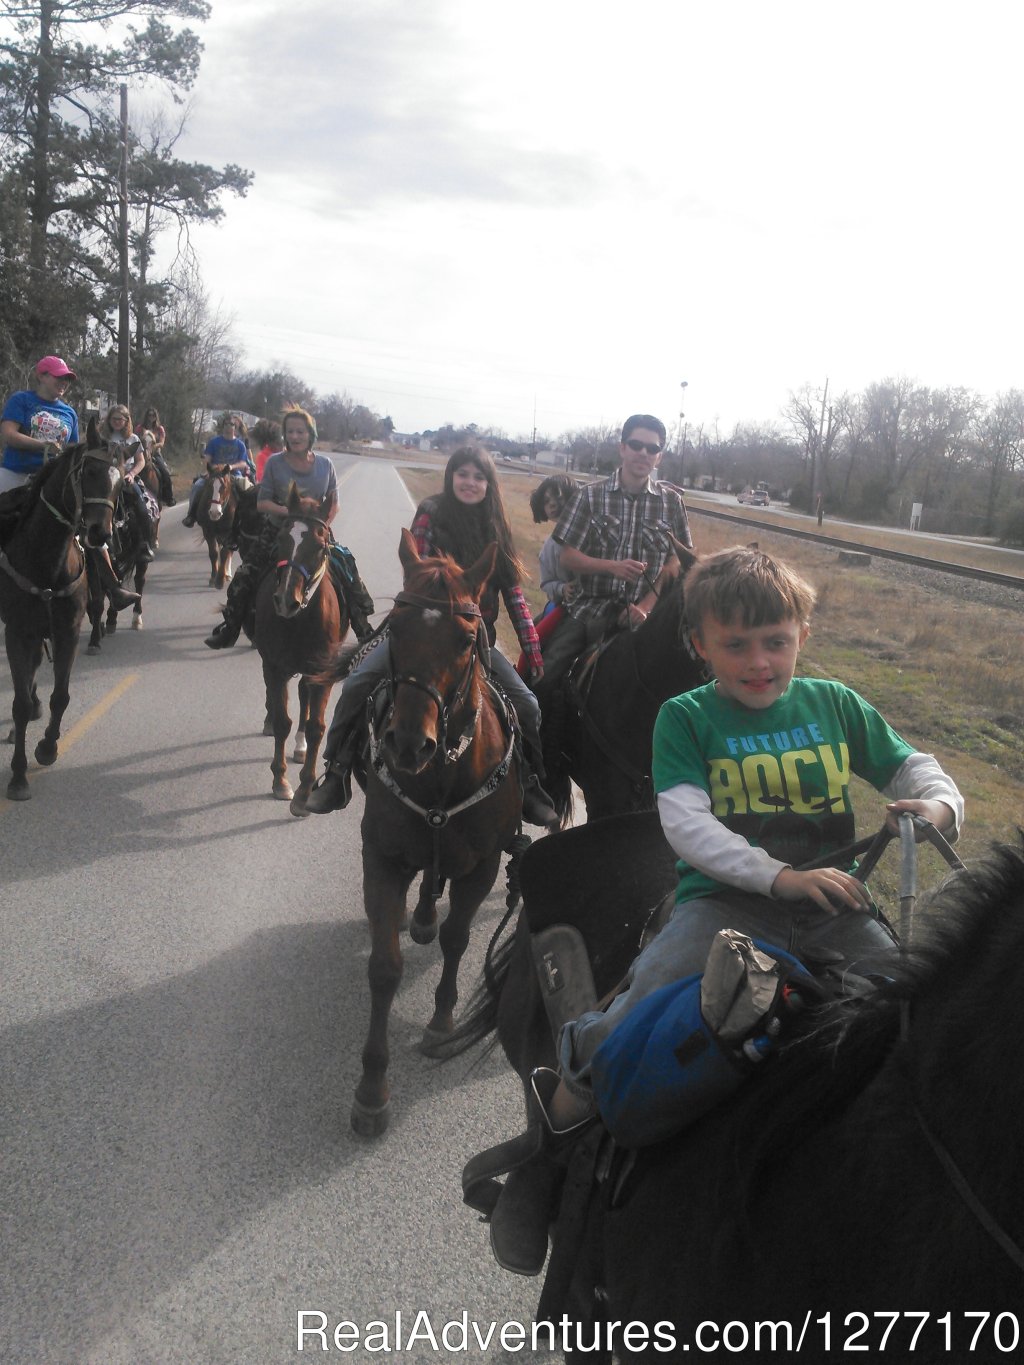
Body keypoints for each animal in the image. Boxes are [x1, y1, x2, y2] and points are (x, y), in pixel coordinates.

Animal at [0, 428, 123, 797]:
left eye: (120, 482)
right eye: (90, 472)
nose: (100, 532)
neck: (47, 562)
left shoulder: (66, 631)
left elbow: (61, 697)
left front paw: (47, 747)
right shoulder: (17, 632)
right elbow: (20, 705)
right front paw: (18, 776)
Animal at [255, 488, 352, 813]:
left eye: (321, 547)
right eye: (281, 539)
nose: (286, 600)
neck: (299, 620)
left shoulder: (323, 673)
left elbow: (316, 727)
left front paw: (305, 790)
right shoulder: (274, 667)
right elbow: (282, 721)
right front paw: (281, 781)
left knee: (304, 698)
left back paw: (300, 747)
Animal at [354, 526, 529, 1135]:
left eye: (465, 638)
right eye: (396, 627)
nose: (408, 743)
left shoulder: (484, 866)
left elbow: (458, 937)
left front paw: (442, 1018)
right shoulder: (382, 860)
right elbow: (385, 968)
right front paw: (371, 1088)